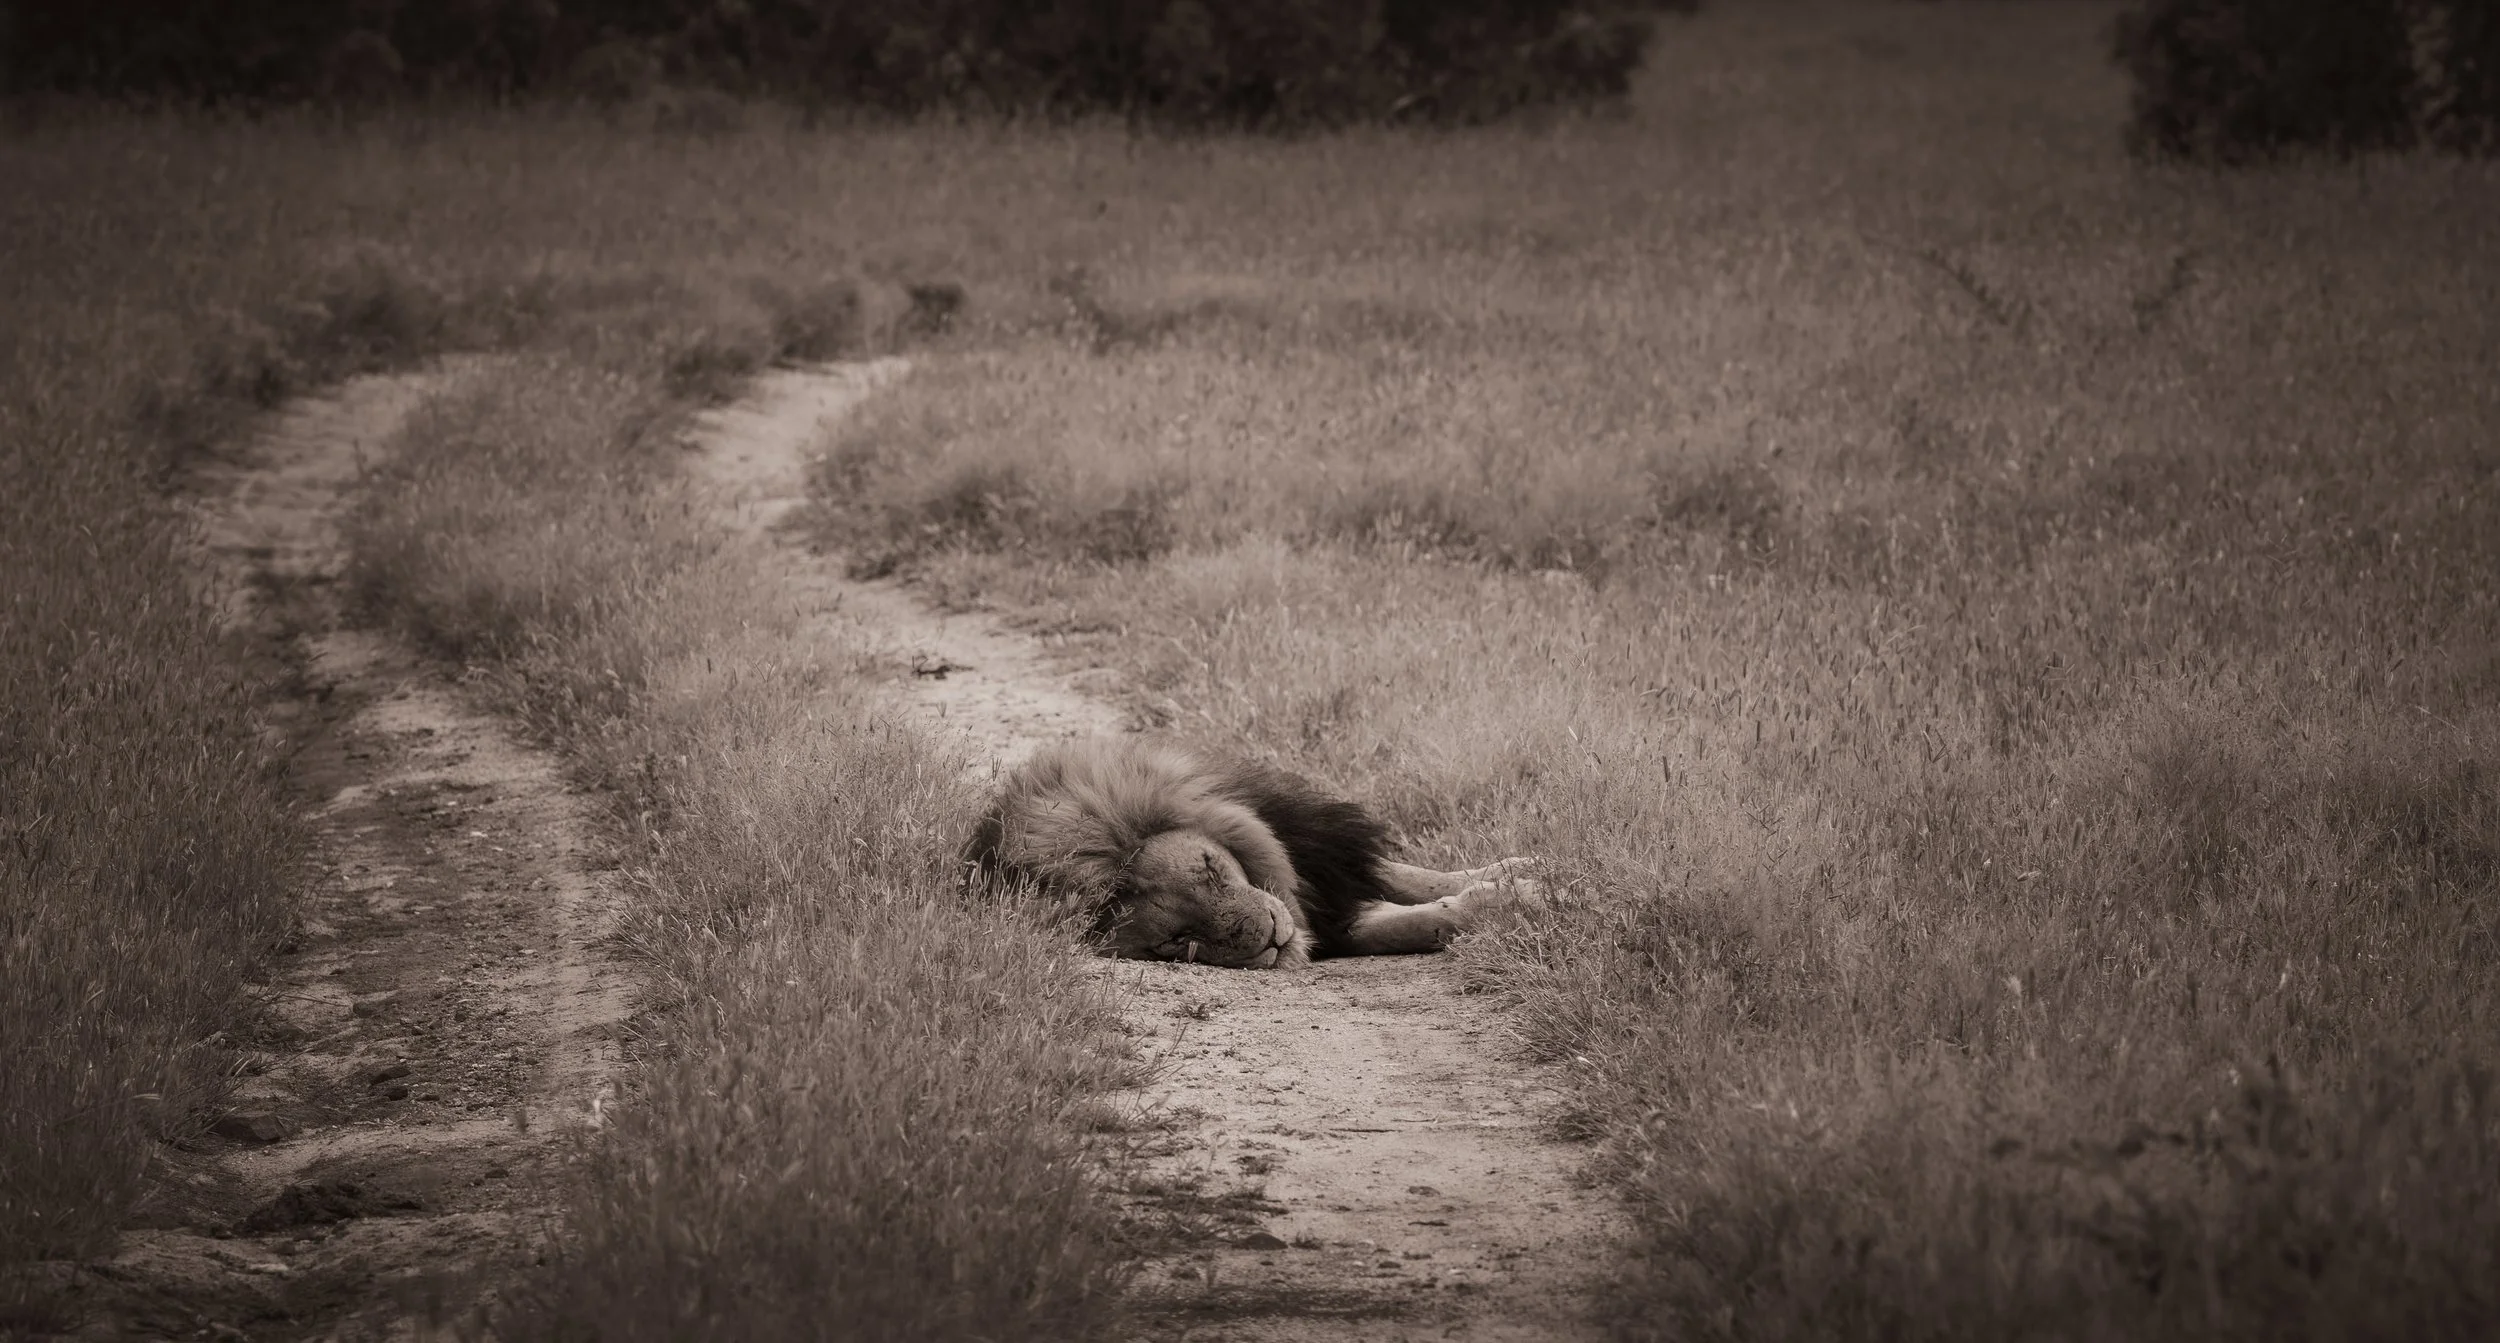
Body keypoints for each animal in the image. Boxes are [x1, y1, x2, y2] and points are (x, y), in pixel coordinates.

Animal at [964, 736, 1546, 969]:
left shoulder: (1324, 869)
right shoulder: (1329, 920)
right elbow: (1419, 921)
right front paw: (1516, 899)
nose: (1268, 934)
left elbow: (1417, 879)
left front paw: (1524, 867)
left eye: (1210, 870)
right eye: (1178, 940)